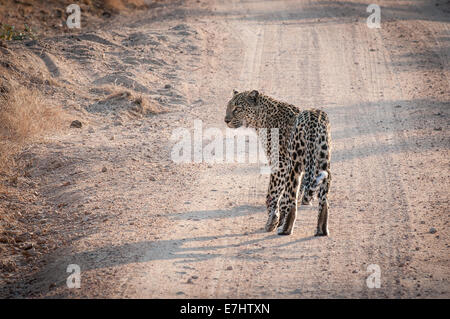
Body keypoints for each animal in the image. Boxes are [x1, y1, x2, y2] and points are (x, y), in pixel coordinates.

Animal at [224, 89, 330, 236]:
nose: (226, 120)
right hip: (323, 160)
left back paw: (285, 229)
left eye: (237, 108)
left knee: (292, 199)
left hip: (295, 164)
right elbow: (287, 195)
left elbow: (273, 194)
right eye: (228, 107)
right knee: (323, 199)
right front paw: (278, 218)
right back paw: (321, 230)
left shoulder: (280, 163)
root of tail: (312, 117)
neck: (260, 119)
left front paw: (273, 221)